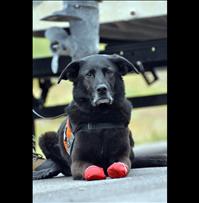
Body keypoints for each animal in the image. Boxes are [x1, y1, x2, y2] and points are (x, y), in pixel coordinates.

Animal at [33, 54, 166, 181]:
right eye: (89, 74)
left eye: (109, 72)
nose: (102, 89)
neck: (101, 116)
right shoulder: (78, 162)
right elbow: (90, 168)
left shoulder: (122, 156)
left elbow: (120, 165)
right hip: (46, 137)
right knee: (58, 164)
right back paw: (45, 171)